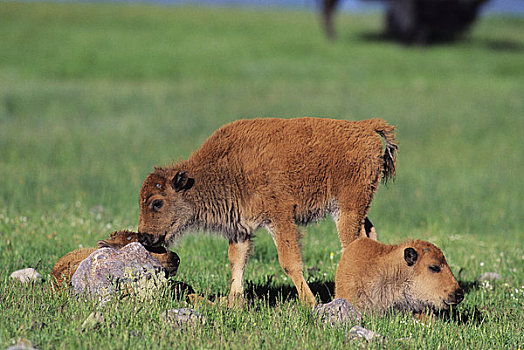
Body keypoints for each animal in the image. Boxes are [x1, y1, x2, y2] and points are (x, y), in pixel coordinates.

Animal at [139, 117, 398, 306]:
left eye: (157, 203)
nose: (143, 237)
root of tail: (365, 126)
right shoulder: (240, 229)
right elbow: (236, 263)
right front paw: (232, 302)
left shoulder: (280, 218)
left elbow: (289, 262)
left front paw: (310, 303)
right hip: (358, 209)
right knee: (369, 235)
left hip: (347, 209)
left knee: (353, 243)